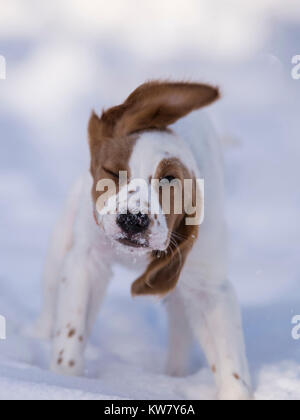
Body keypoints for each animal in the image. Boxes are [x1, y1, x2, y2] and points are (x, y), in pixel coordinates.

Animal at [34, 81, 252, 400]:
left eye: (170, 179)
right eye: (112, 172)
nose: (132, 220)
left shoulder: (209, 286)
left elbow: (230, 362)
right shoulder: (87, 261)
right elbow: (71, 332)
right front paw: (66, 382)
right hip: (62, 241)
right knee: (51, 303)